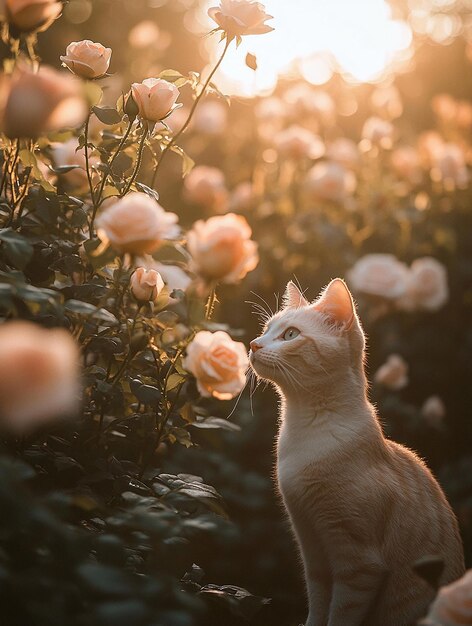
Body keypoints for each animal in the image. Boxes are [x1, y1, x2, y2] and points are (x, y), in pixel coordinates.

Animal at [249, 278, 462, 624]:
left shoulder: (358, 564)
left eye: (290, 335)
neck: (303, 432)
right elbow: (317, 609)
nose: (253, 344)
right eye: (266, 330)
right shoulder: (311, 550)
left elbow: (339, 615)